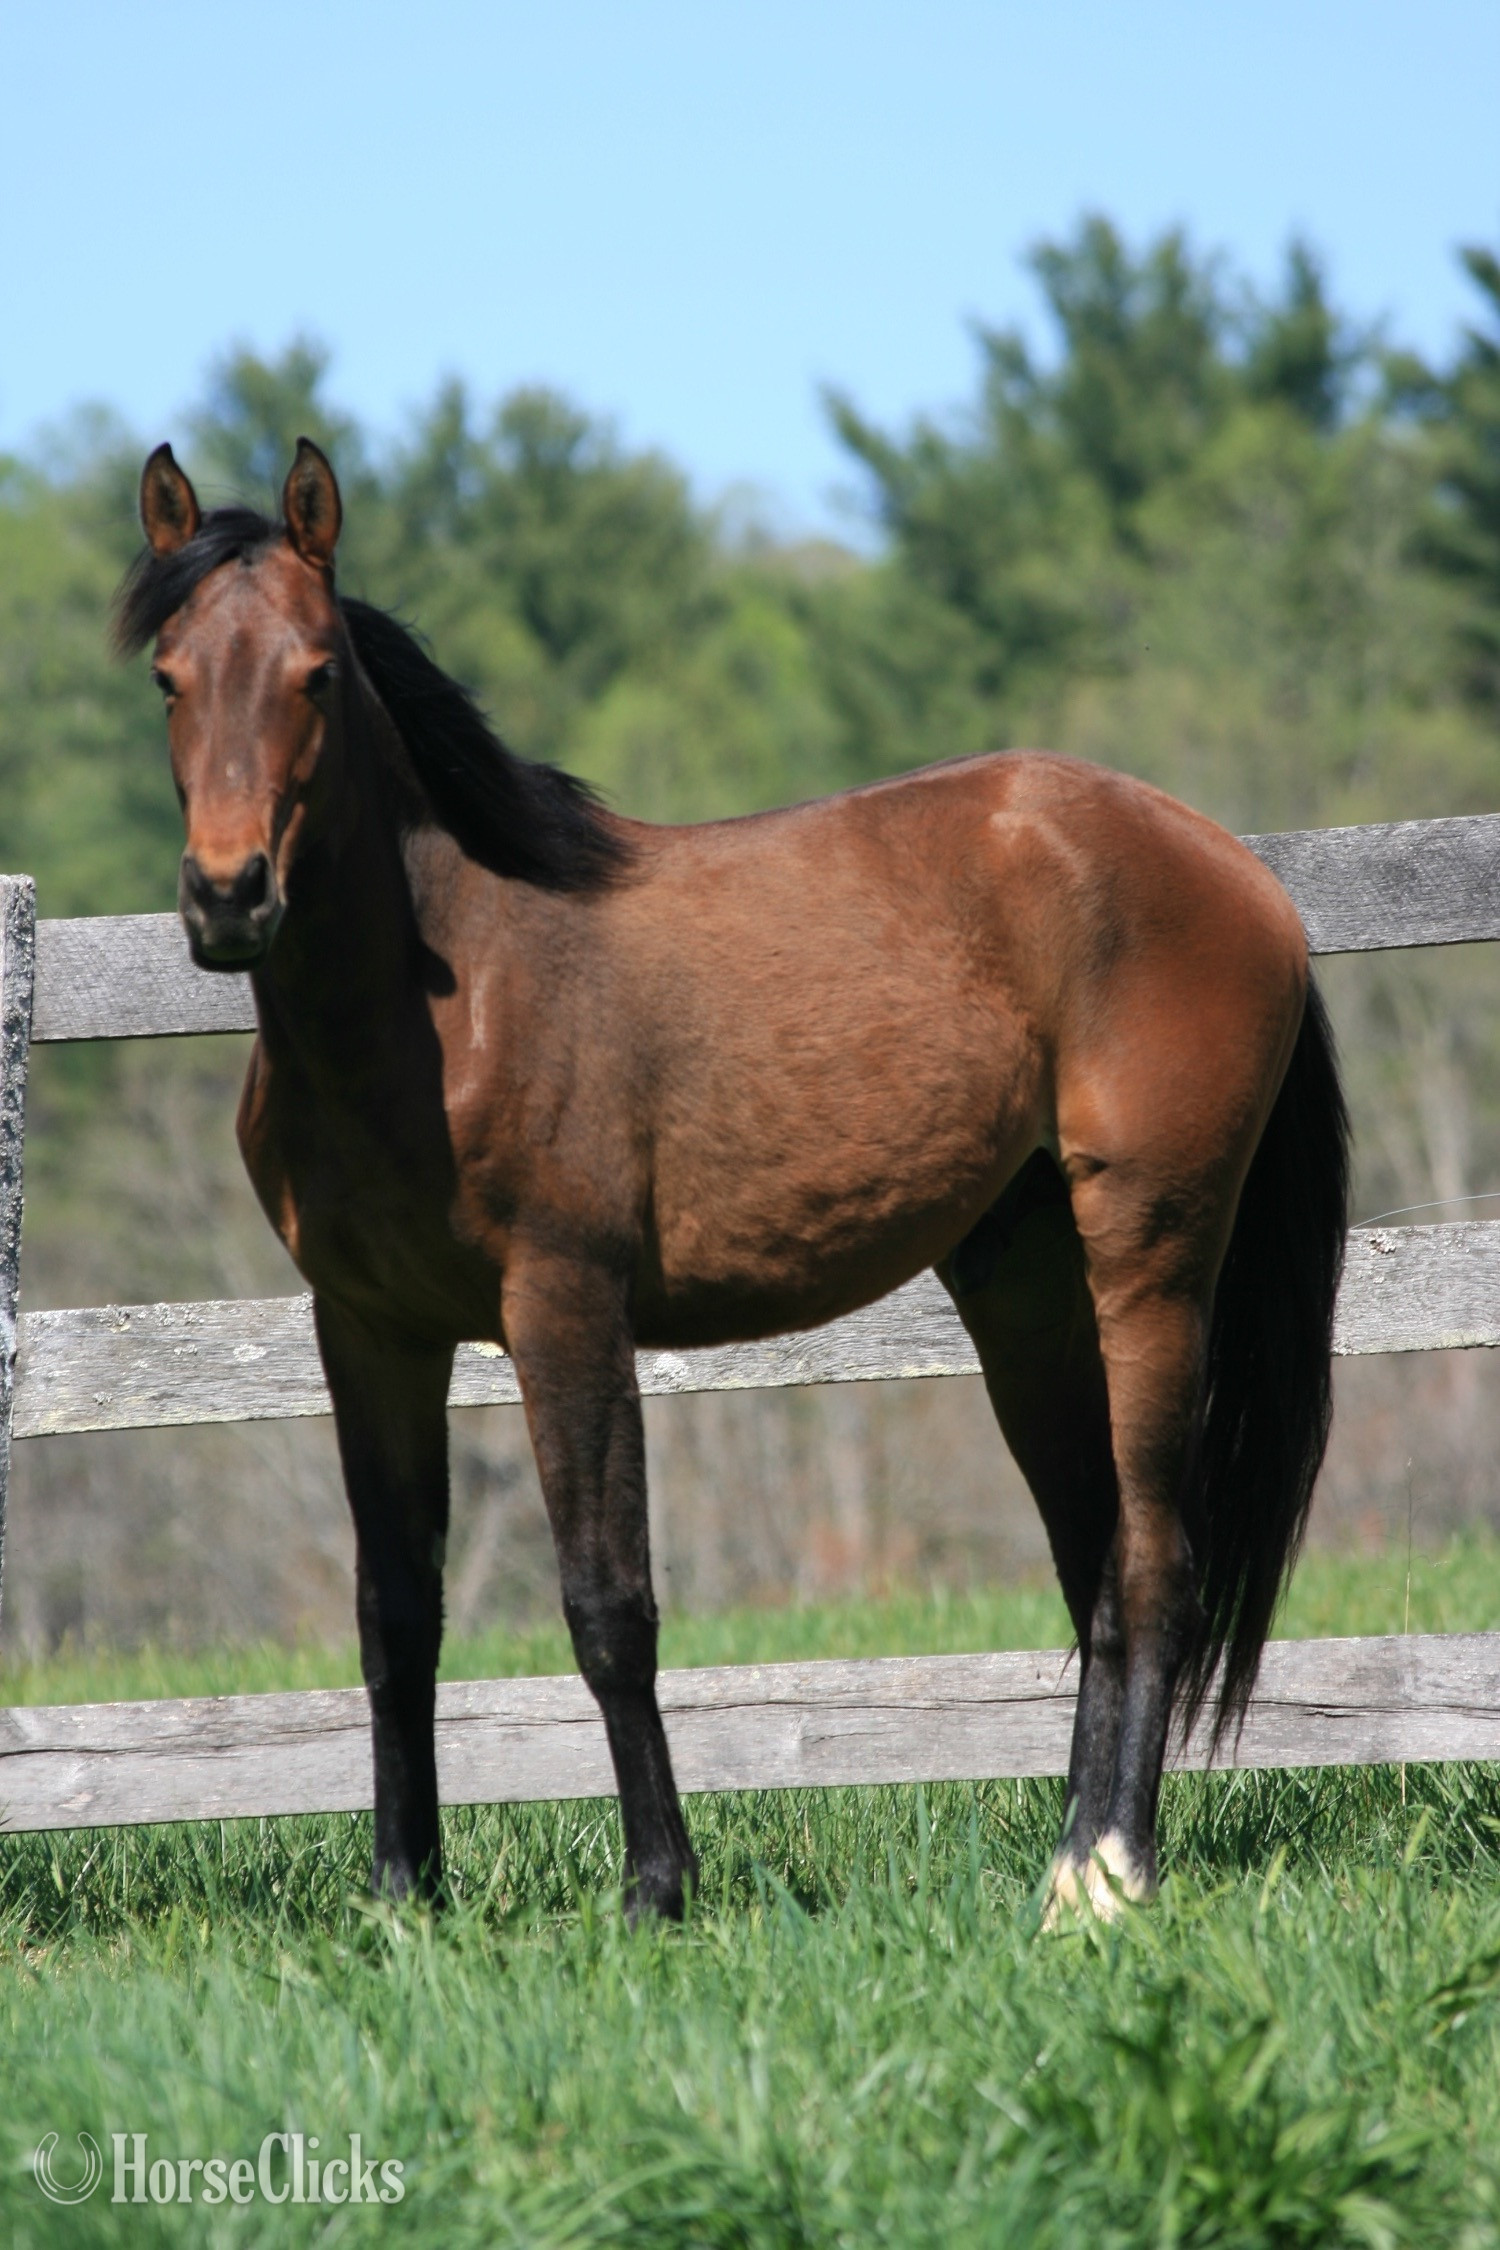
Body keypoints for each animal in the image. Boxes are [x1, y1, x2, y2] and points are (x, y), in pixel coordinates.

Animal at [115, 437, 1348, 1922]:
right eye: (169, 675)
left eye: (313, 673)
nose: (228, 896)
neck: (450, 997)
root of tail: (1238, 870)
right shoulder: (369, 1332)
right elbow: (394, 1611)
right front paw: (404, 1893)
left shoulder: (565, 1309)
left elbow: (608, 1603)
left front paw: (657, 1886)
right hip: (1026, 1294)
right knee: (1095, 1562)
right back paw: (1061, 1865)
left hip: (1151, 1265)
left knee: (1159, 1562)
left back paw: (1113, 1873)